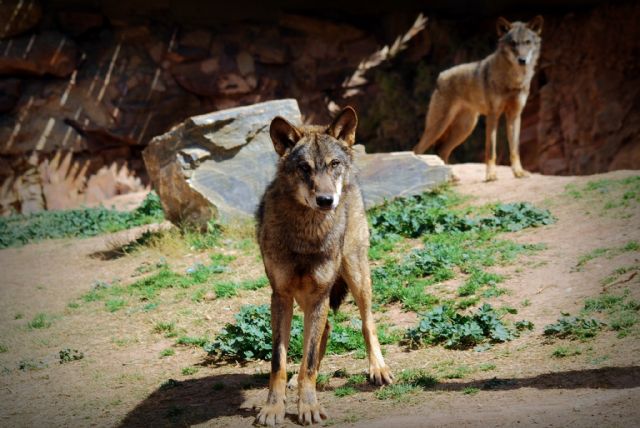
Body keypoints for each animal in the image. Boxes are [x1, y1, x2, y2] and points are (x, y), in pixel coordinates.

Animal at [255, 107, 393, 426]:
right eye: (304, 168)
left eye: (333, 164)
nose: (326, 200)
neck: (307, 234)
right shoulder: (281, 296)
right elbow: (279, 362)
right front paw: (273, 408)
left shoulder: (319, 294)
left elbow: (308, 362)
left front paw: (308, 406)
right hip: (308, 297)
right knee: (325, 329)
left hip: (355, 273)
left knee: (367, 322)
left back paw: (378, 369)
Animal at [414, 16, 544, 181]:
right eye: (513, 43)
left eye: (527, 42)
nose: (522, 60)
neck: (514, 80)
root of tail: (440, 76)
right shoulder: (493, 115)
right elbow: (491, 150)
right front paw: (491, 175)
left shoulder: (514, 115)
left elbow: (515, 150)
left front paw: (518, 172)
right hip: (439, 127)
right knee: (418, 149)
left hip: (465, 129)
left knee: (441, 150)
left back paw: (451, 178)